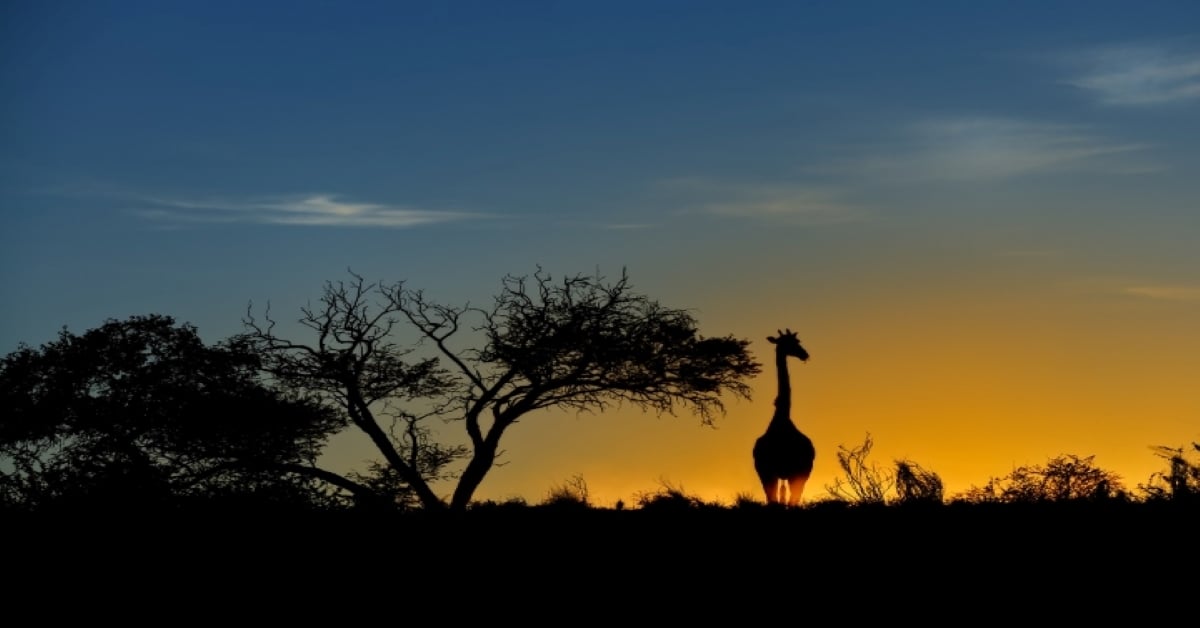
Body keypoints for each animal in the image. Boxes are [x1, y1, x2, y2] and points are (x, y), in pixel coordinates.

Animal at [753, 328, 816, 506]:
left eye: (797, 341)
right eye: (788, 343)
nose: (804, 354)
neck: (781, 421)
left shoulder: (797, 470)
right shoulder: (766, 471)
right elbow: (773, 501)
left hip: (801, 472)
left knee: (793, 499)